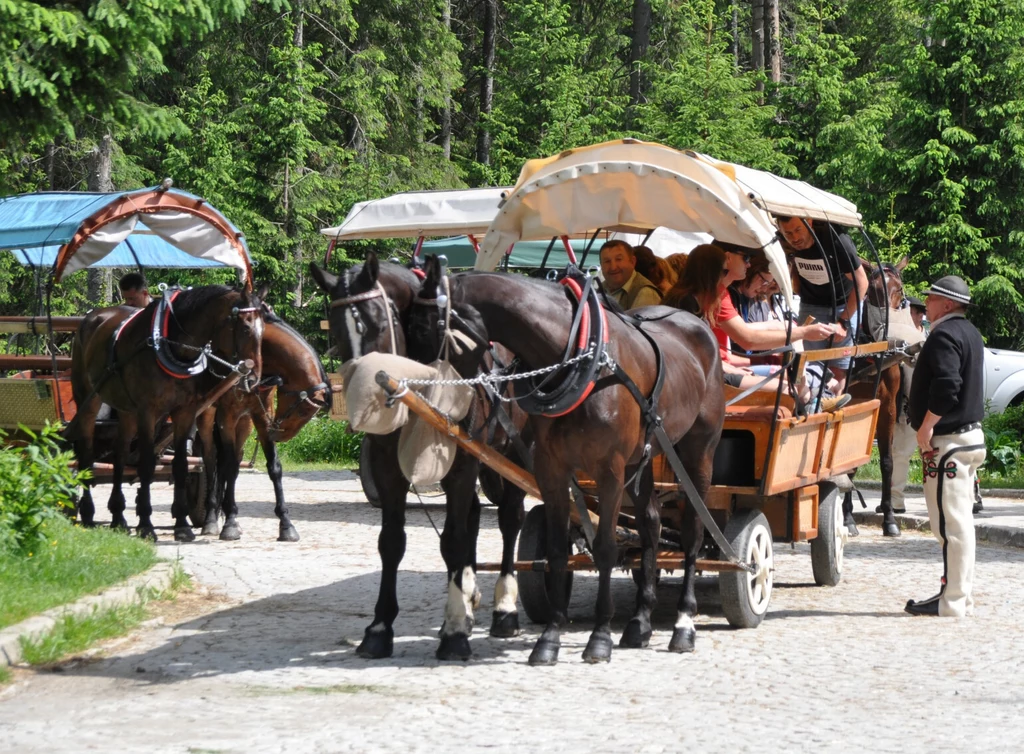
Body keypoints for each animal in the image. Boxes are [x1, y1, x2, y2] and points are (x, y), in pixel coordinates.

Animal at [68, 284, 264, 540]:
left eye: (263, 330)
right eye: (245, 327)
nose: (253, 378)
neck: (172, 346)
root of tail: (92, 317)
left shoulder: (184, 412)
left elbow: (181, 465)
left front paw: (181, 524)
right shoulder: (147, 412)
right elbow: (146, 465)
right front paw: (145, 524)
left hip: (126, 410)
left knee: (120, 456)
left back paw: (118, 516)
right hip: (89, 401)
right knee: (86, 456)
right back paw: (88, 512)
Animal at [193, 307, 329, 540]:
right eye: (304, 410)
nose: (278, 435)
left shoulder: (261, 415)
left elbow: (274, 468)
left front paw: (285, 524)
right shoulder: (226, 417)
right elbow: (226, 466)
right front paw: (229, 522)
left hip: (244, 423)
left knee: (233, 459)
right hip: (208, 416)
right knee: (211, 461)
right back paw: (211, 518)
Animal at [305, 255, 532, 659]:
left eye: (379, 324)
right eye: (336, 332)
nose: (362, 398)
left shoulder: (463, 463)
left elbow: (454, 539)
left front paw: (455, 634)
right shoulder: (387, 468)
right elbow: (392, 542)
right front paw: (380, 628)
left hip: (517, 454)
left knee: (509, 519)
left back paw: (504, 609)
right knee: (474, 516)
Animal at [411, 259, 724, 663]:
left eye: (423, 329)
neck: (580, 358)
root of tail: (697, 323)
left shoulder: (609, 470)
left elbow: (605, 548)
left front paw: (600, 637)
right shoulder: (552, 469)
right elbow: (558, 550)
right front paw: (550, 637)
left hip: (698, 451)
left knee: (693, 531)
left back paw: (684, 623)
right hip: (643, 456)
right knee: (651, 523)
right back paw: (640, 621)